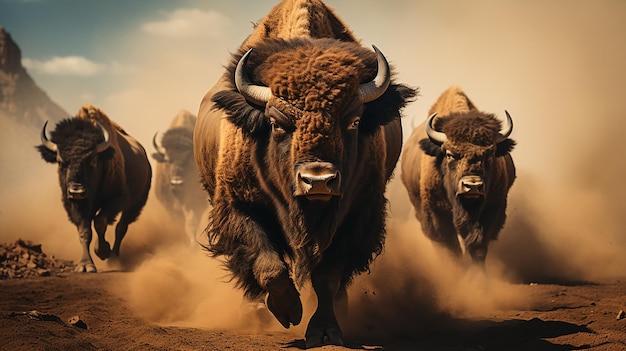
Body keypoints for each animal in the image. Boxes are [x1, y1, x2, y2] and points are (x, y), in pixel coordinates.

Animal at [36, 103, 151, 274]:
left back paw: (113, 258)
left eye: (92, 161)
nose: (77, 191)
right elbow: (84, 232)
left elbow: (100, 222)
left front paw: (102, 251)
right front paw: (85, 265)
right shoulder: (76, 207)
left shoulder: (116, 200)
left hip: (135, 205)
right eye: (60, 162)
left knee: (121, 228)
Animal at [151, 108, 205, 246]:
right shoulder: (168, 203)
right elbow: (179, 222)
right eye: (167, 161)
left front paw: (193, 244)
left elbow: (191, 221)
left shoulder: (196, 201)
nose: (177, 183)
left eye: (189, 160)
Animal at [190, 0, 414, 348]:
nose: (318, 180)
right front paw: (288, 312)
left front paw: (325, 330)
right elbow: (270, 266)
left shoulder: (354, 217)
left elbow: (328, 277)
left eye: (353, 121)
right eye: (276, 123)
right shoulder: (239, 207)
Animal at [400, 87, 516, 266]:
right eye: (449, 154)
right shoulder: (438, 212)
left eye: (490, 154)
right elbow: (451, 249)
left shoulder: (491, 209)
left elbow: (477, 247)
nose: (473, 186)